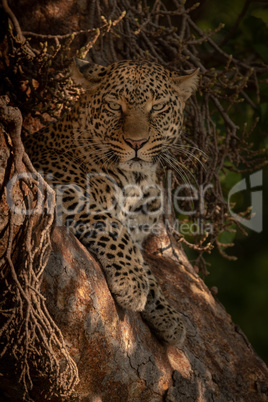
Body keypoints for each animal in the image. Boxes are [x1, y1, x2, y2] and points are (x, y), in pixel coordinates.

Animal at [24, 57, 198, 346]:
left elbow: (147, 268)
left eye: (157, 107)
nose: (136, 142)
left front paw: (167, 314)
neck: (137, 180)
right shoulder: (60, 185)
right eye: (115, 106)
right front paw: (132, 282)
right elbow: (111, 226)